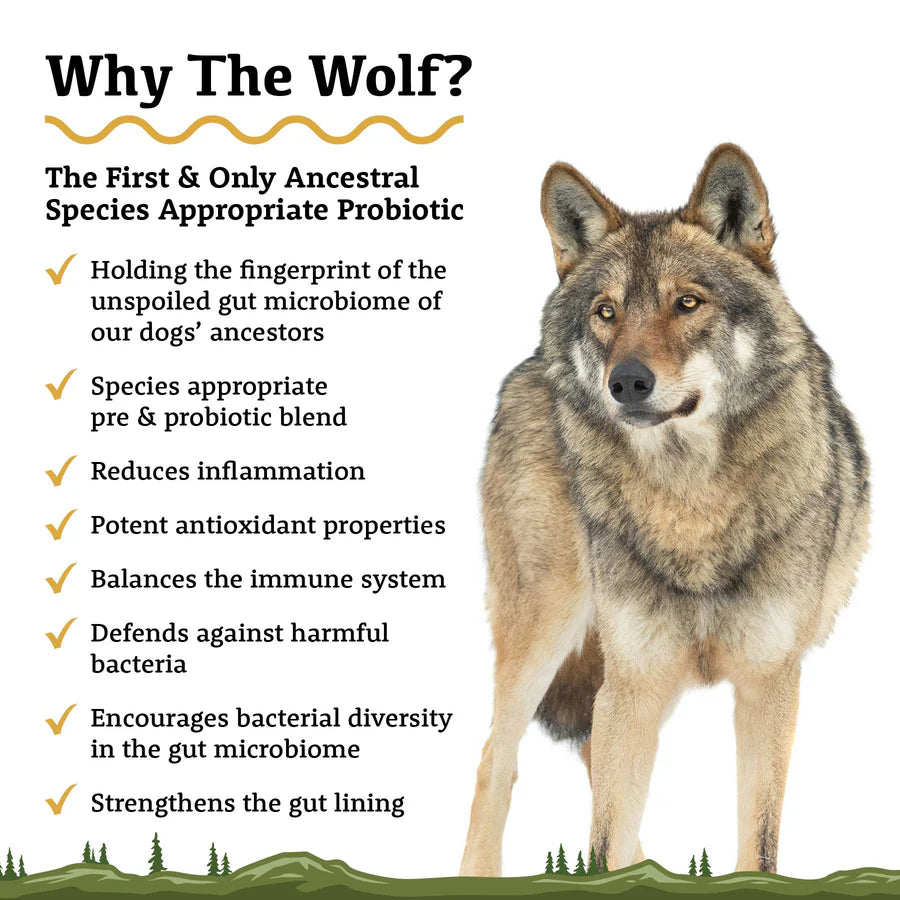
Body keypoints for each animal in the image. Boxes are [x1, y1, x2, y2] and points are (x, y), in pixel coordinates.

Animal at [459, 145, 869, 877]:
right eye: (606, 311)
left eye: (687, 303)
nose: (626, 382)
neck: (690, 503)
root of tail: (533, 364)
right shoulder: (637, 678)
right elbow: (602, 835)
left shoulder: (768, 682)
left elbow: (757, 842)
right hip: (547, 627)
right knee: (497, 760)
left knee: (589, 758)